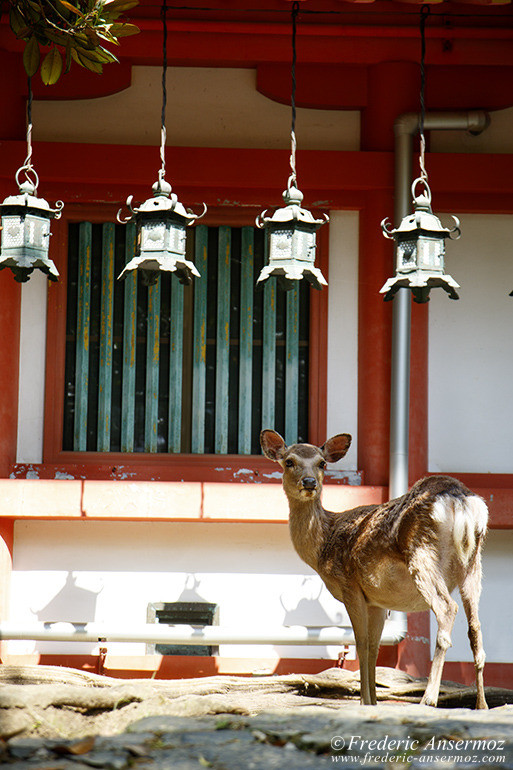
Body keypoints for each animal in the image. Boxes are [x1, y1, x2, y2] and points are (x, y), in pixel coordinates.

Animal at [260, 428, 488, 704]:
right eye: (289, 461)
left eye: (322, 463)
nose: (309, 482)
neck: (324, 544)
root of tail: (461, 500)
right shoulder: (378, 601)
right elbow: (374, 646)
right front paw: (374, 701)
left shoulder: (350, 586)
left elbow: (360, 643)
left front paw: (364, 702)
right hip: (473, 564)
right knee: (475, 628)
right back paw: (482, 704)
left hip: (422, 553)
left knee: (447, 609)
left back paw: (429, 698)